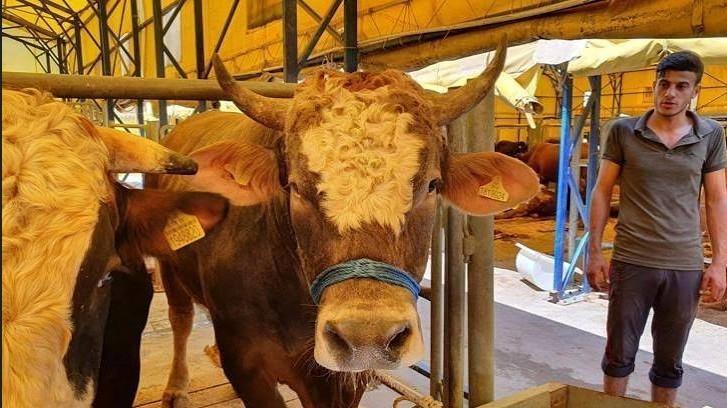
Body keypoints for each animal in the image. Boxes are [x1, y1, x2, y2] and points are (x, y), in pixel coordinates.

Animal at [148, 37, 539, 407]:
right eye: (295, 187)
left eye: (432, 185)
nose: (367, 336)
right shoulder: (245, 362)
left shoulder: (343, 380)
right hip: (169, 267)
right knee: (180, 319)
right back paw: (176, 387)